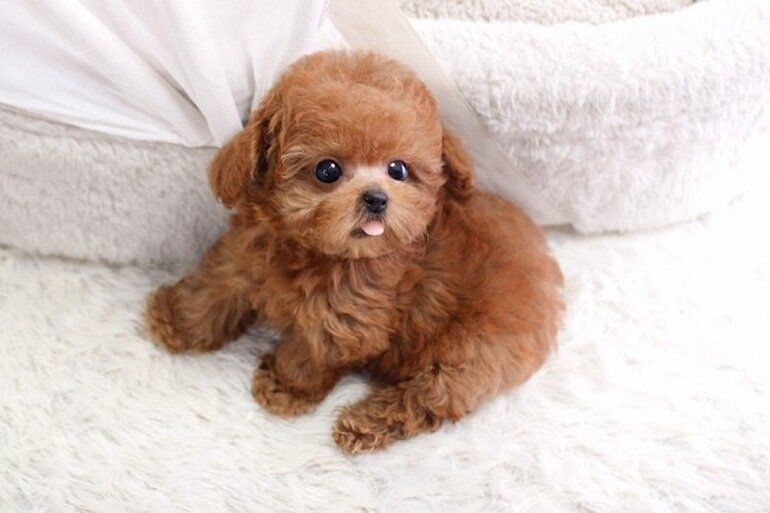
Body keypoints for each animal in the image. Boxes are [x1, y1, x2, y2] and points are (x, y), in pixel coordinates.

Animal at [146, 50, 564, 452]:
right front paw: (173, 322)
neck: (313, 252)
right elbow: (213, 290)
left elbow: (311, 353)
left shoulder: (344, 320)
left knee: (430, 399)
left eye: (398, 170)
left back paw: (362, 424)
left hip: (472, 354)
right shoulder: (241, 256)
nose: (377, 199)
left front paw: (285, 388)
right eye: (327, 170)